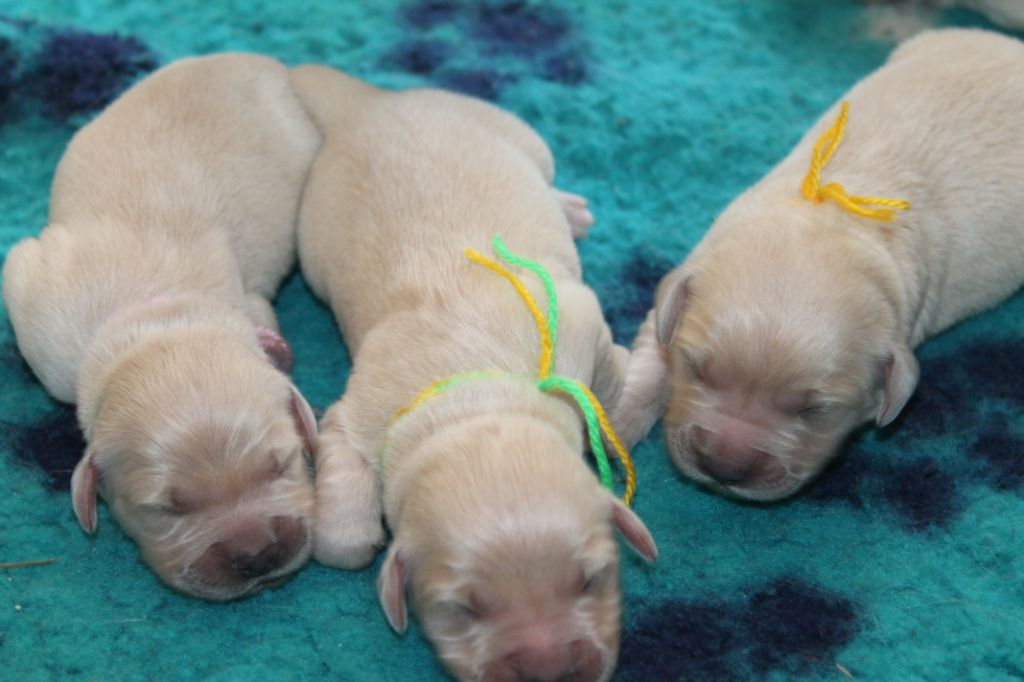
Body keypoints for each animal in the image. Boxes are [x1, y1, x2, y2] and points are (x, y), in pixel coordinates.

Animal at [288, 65, 655, 679]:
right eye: (461, 609)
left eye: (592, 578)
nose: (550, 670)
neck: (471, 402)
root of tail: (371, 104)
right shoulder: (360, 413)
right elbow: (340, 536)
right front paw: (356, 536)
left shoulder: (577, 322)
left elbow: (604, 366)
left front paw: (618, 388)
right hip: (313, 235)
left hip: (512, 131)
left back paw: (570, 208)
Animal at [606, 29, 1024, 499]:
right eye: (698, 369)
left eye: (815, 409)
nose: (724, 467)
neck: (831, 218)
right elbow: (650, 362)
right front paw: (615, 422)